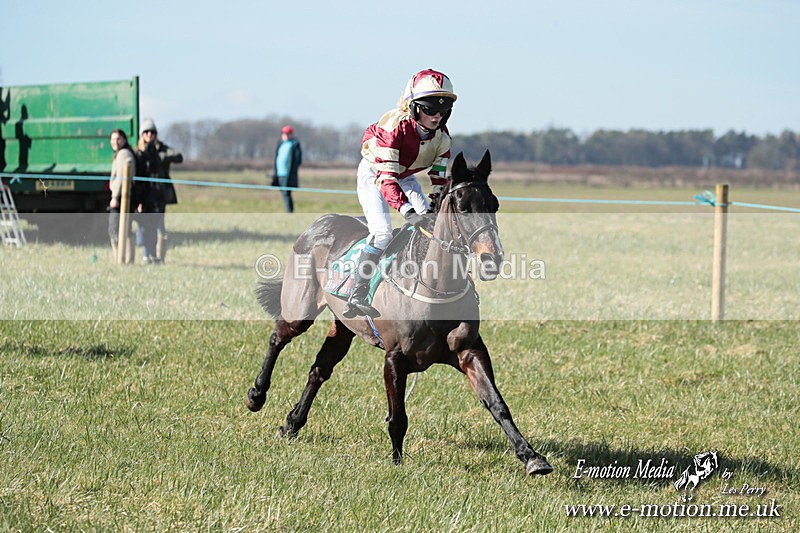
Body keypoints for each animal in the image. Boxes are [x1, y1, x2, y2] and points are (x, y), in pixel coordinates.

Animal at [245, 150, 553, 476]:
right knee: (278, 338)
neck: (435, 288)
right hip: (300, 310)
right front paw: (396, 462)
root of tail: (321, 221)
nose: (491, 259)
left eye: (494, 204)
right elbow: (398, 417)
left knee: (319, 369)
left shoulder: (470, 350)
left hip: (343, 326)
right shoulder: (394, 358)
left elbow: (497, 403)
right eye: (462, 207)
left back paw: (293, 423)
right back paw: (256, 395)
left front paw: (531, 456)